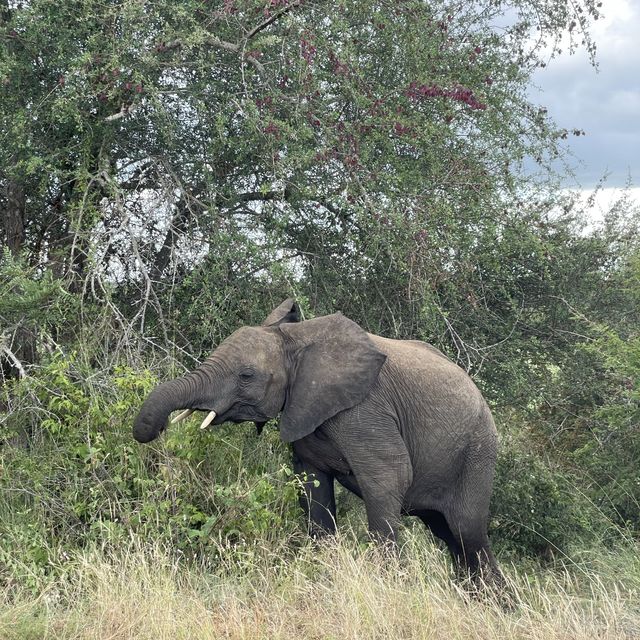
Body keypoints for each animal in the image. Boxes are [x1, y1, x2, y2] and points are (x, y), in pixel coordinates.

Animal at [134, 300, 504, 584]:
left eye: (246, 376)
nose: (155, 430)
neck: (295, 340)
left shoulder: (366, 408)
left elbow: (388, 479)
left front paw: (389, 583)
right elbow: (312, 486)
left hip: (477, 450)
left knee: (467, 532)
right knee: (449, 534)